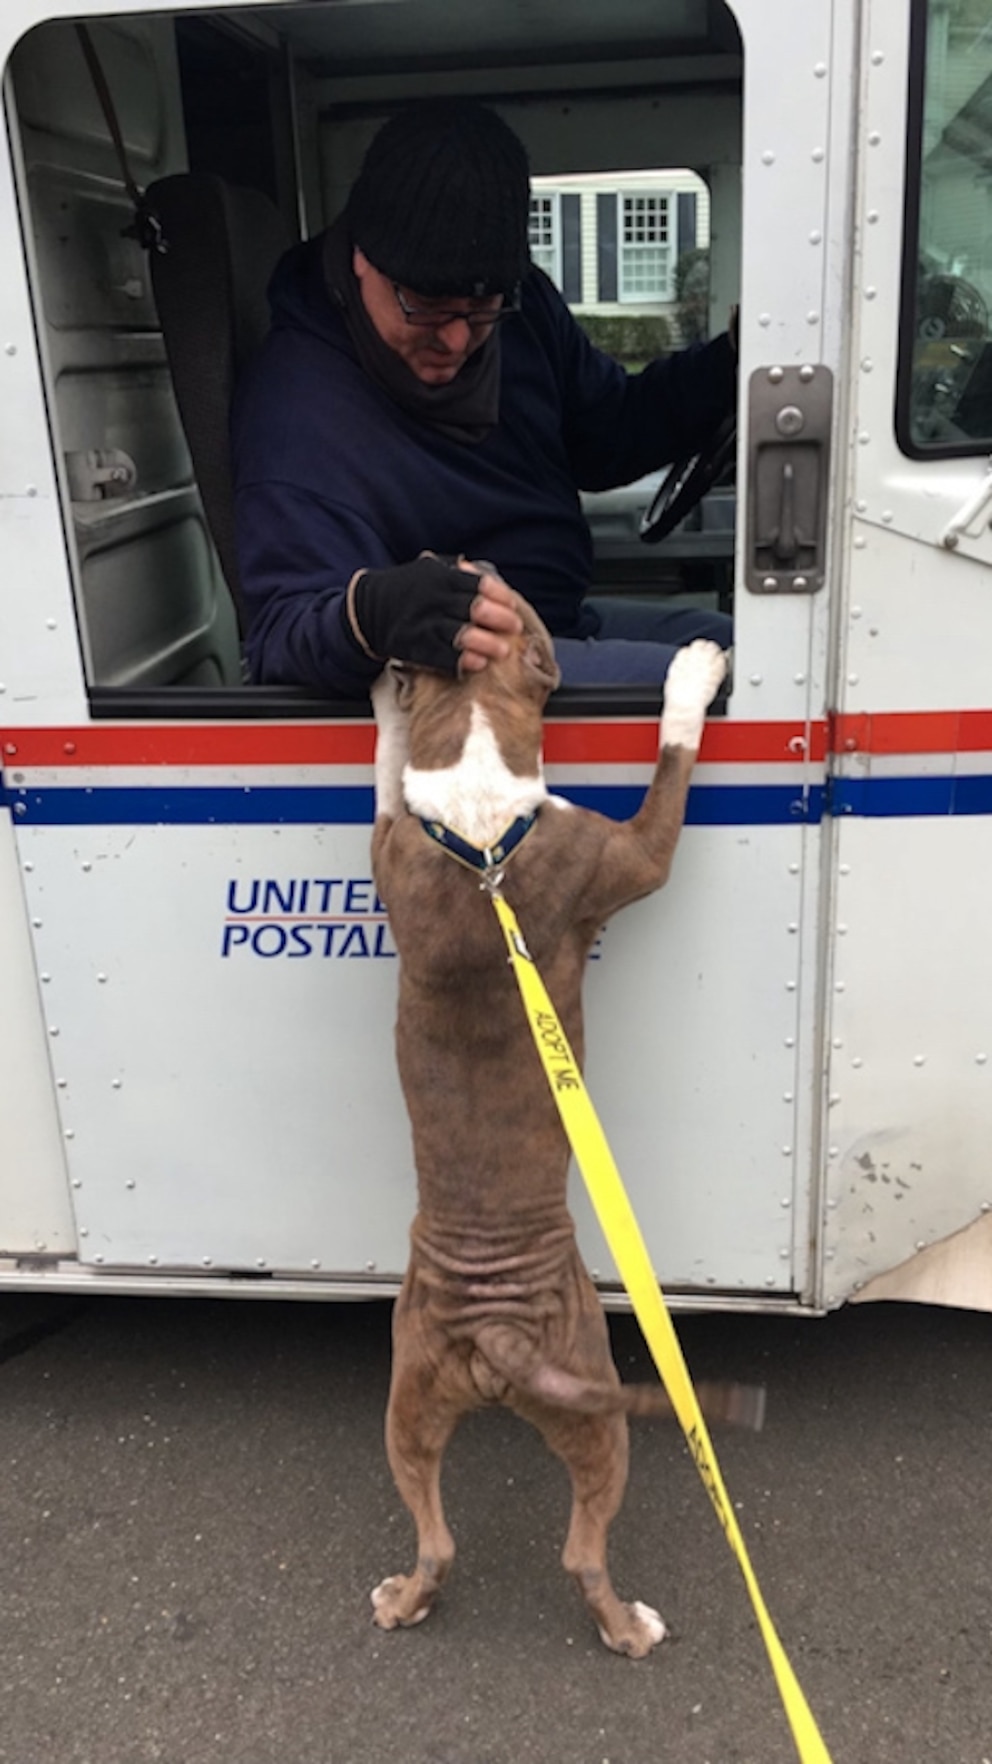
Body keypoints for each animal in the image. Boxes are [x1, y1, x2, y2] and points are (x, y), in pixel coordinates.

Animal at [367, 599, 751, 1658]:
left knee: (436, 1539)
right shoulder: (635, 853)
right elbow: (673, 758)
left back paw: (404, 1602)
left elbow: (386, 767)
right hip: (596, 1408)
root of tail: (492, 1331)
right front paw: (693, 678)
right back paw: (630, 1629)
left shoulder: (389, 843)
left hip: (407, 1405)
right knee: (583, 1551)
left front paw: (384, 704)